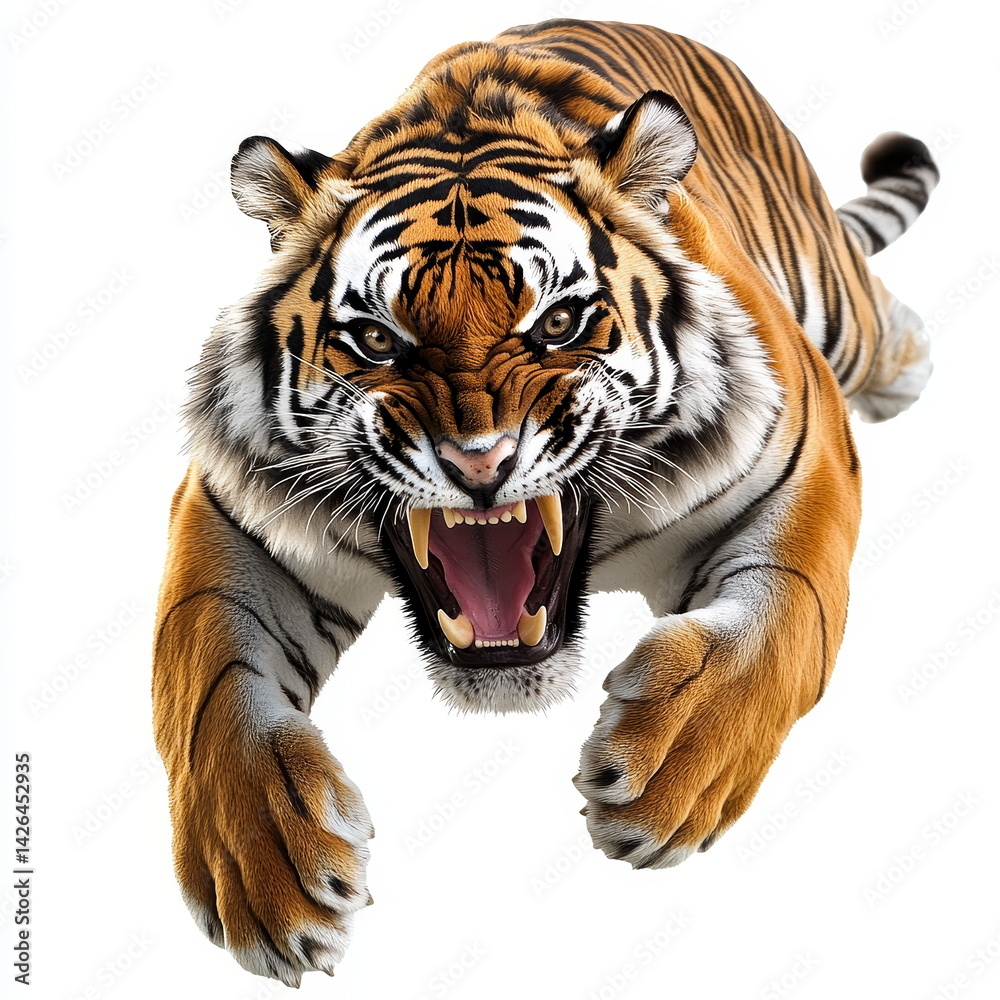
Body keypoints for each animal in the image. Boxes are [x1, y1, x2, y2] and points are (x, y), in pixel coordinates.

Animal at [152, 18, 938, 985]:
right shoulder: (232, 516)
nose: (478, 462)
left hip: (839, 312)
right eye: (376, 339)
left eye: (557, 324)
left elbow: (784, 621)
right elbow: (202, 680)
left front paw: (664, 775)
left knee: (881, 322)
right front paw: (268, 873)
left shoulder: (806, 448)